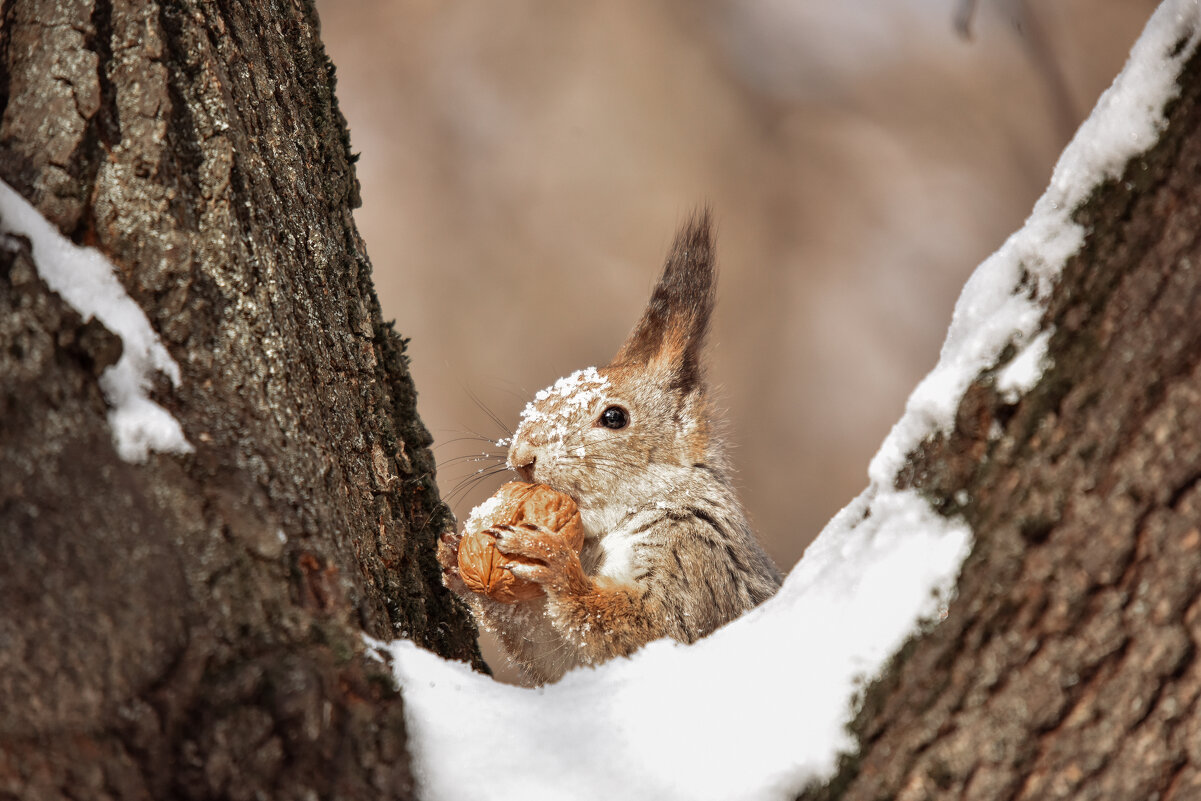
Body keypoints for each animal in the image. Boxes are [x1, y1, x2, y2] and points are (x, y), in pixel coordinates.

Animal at [437, 211, 783, 682]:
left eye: (615, 417)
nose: (520, 459)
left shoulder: (696, 563)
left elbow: (646, 628)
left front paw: (553, 563)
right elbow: (554, 656)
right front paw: (456, 559)